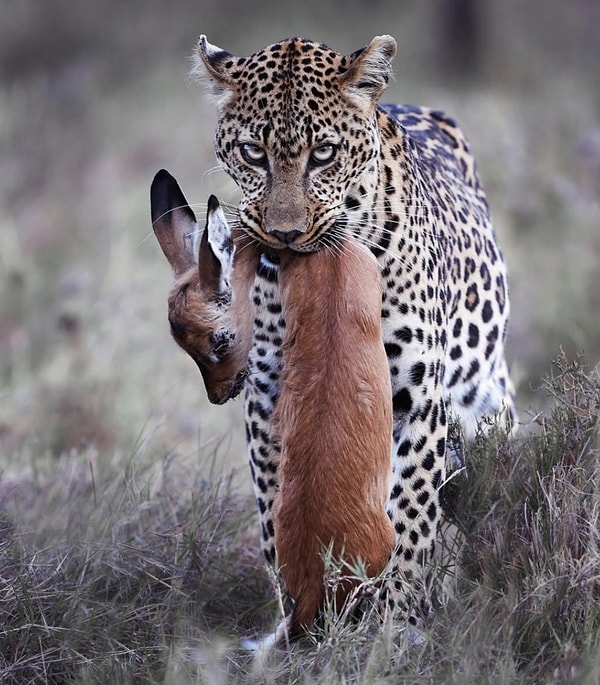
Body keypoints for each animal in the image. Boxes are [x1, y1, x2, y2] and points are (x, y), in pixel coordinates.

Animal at [192, 32, 516, 620]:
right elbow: (276, 506)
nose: (285, 234)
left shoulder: (416, 394)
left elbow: (410, 514)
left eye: (323, 154)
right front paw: (303, 607)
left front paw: (392, 618)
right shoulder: (269, 391)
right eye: (253, 153)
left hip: (485, 406)